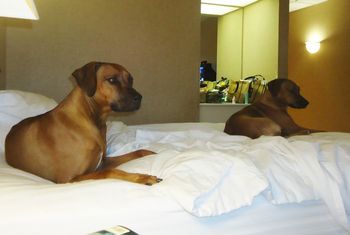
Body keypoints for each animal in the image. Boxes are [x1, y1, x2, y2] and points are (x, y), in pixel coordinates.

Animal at [4, 61, 162, 185]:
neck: (92, 119)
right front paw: (142, 177)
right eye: (112, 80)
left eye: (131, 80)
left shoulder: (103, 161)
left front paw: (151, 152)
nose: (139, 98)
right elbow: (110, 171)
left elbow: (138, 152)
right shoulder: (70, 178)